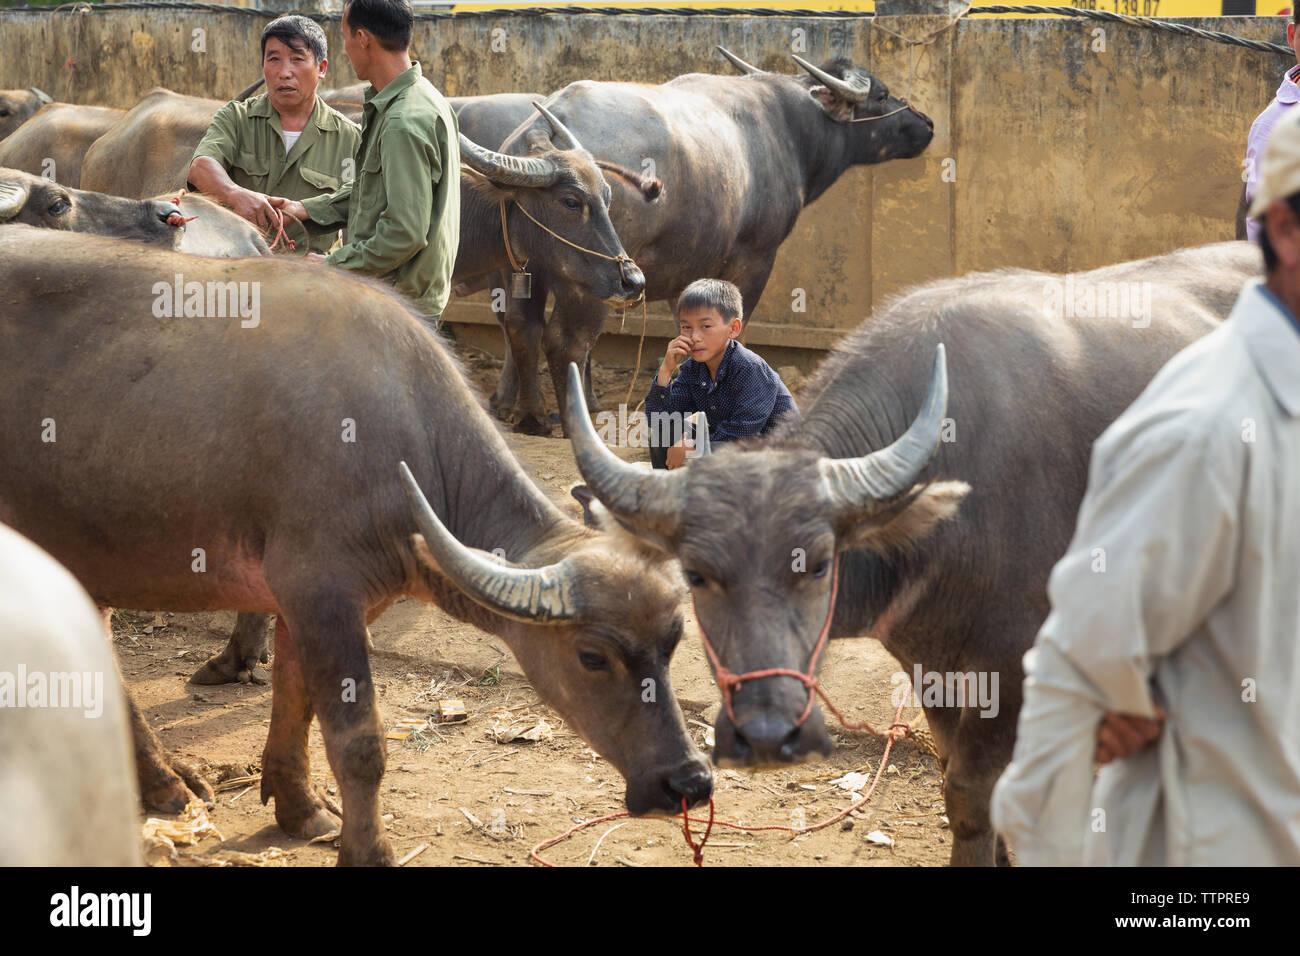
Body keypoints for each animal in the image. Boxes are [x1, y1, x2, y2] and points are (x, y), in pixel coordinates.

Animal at [493, 52, 935, 434]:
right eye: (881, 94)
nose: (927, 125)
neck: (789, 129)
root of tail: (540, 134)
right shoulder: (755, 258)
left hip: (523, 267)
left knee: (522, 326)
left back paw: (532, 415)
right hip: (594, 277)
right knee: (566, 341)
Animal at [566, 240, 1258, 868]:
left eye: (819, 563)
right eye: (697, 574)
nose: (763, 732)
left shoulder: (1016, 666)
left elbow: (974, 792)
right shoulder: (933, 666)